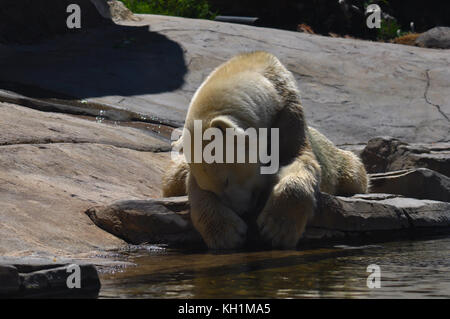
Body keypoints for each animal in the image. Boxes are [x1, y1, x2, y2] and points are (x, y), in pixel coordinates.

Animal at [163, 52, 368, 250]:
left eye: (226, 180)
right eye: (213, 188)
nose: (242, 211)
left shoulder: (288, 116)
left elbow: (297, 159)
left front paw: (277, 228)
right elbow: (192, 185)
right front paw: (227, 234)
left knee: (354, 174)